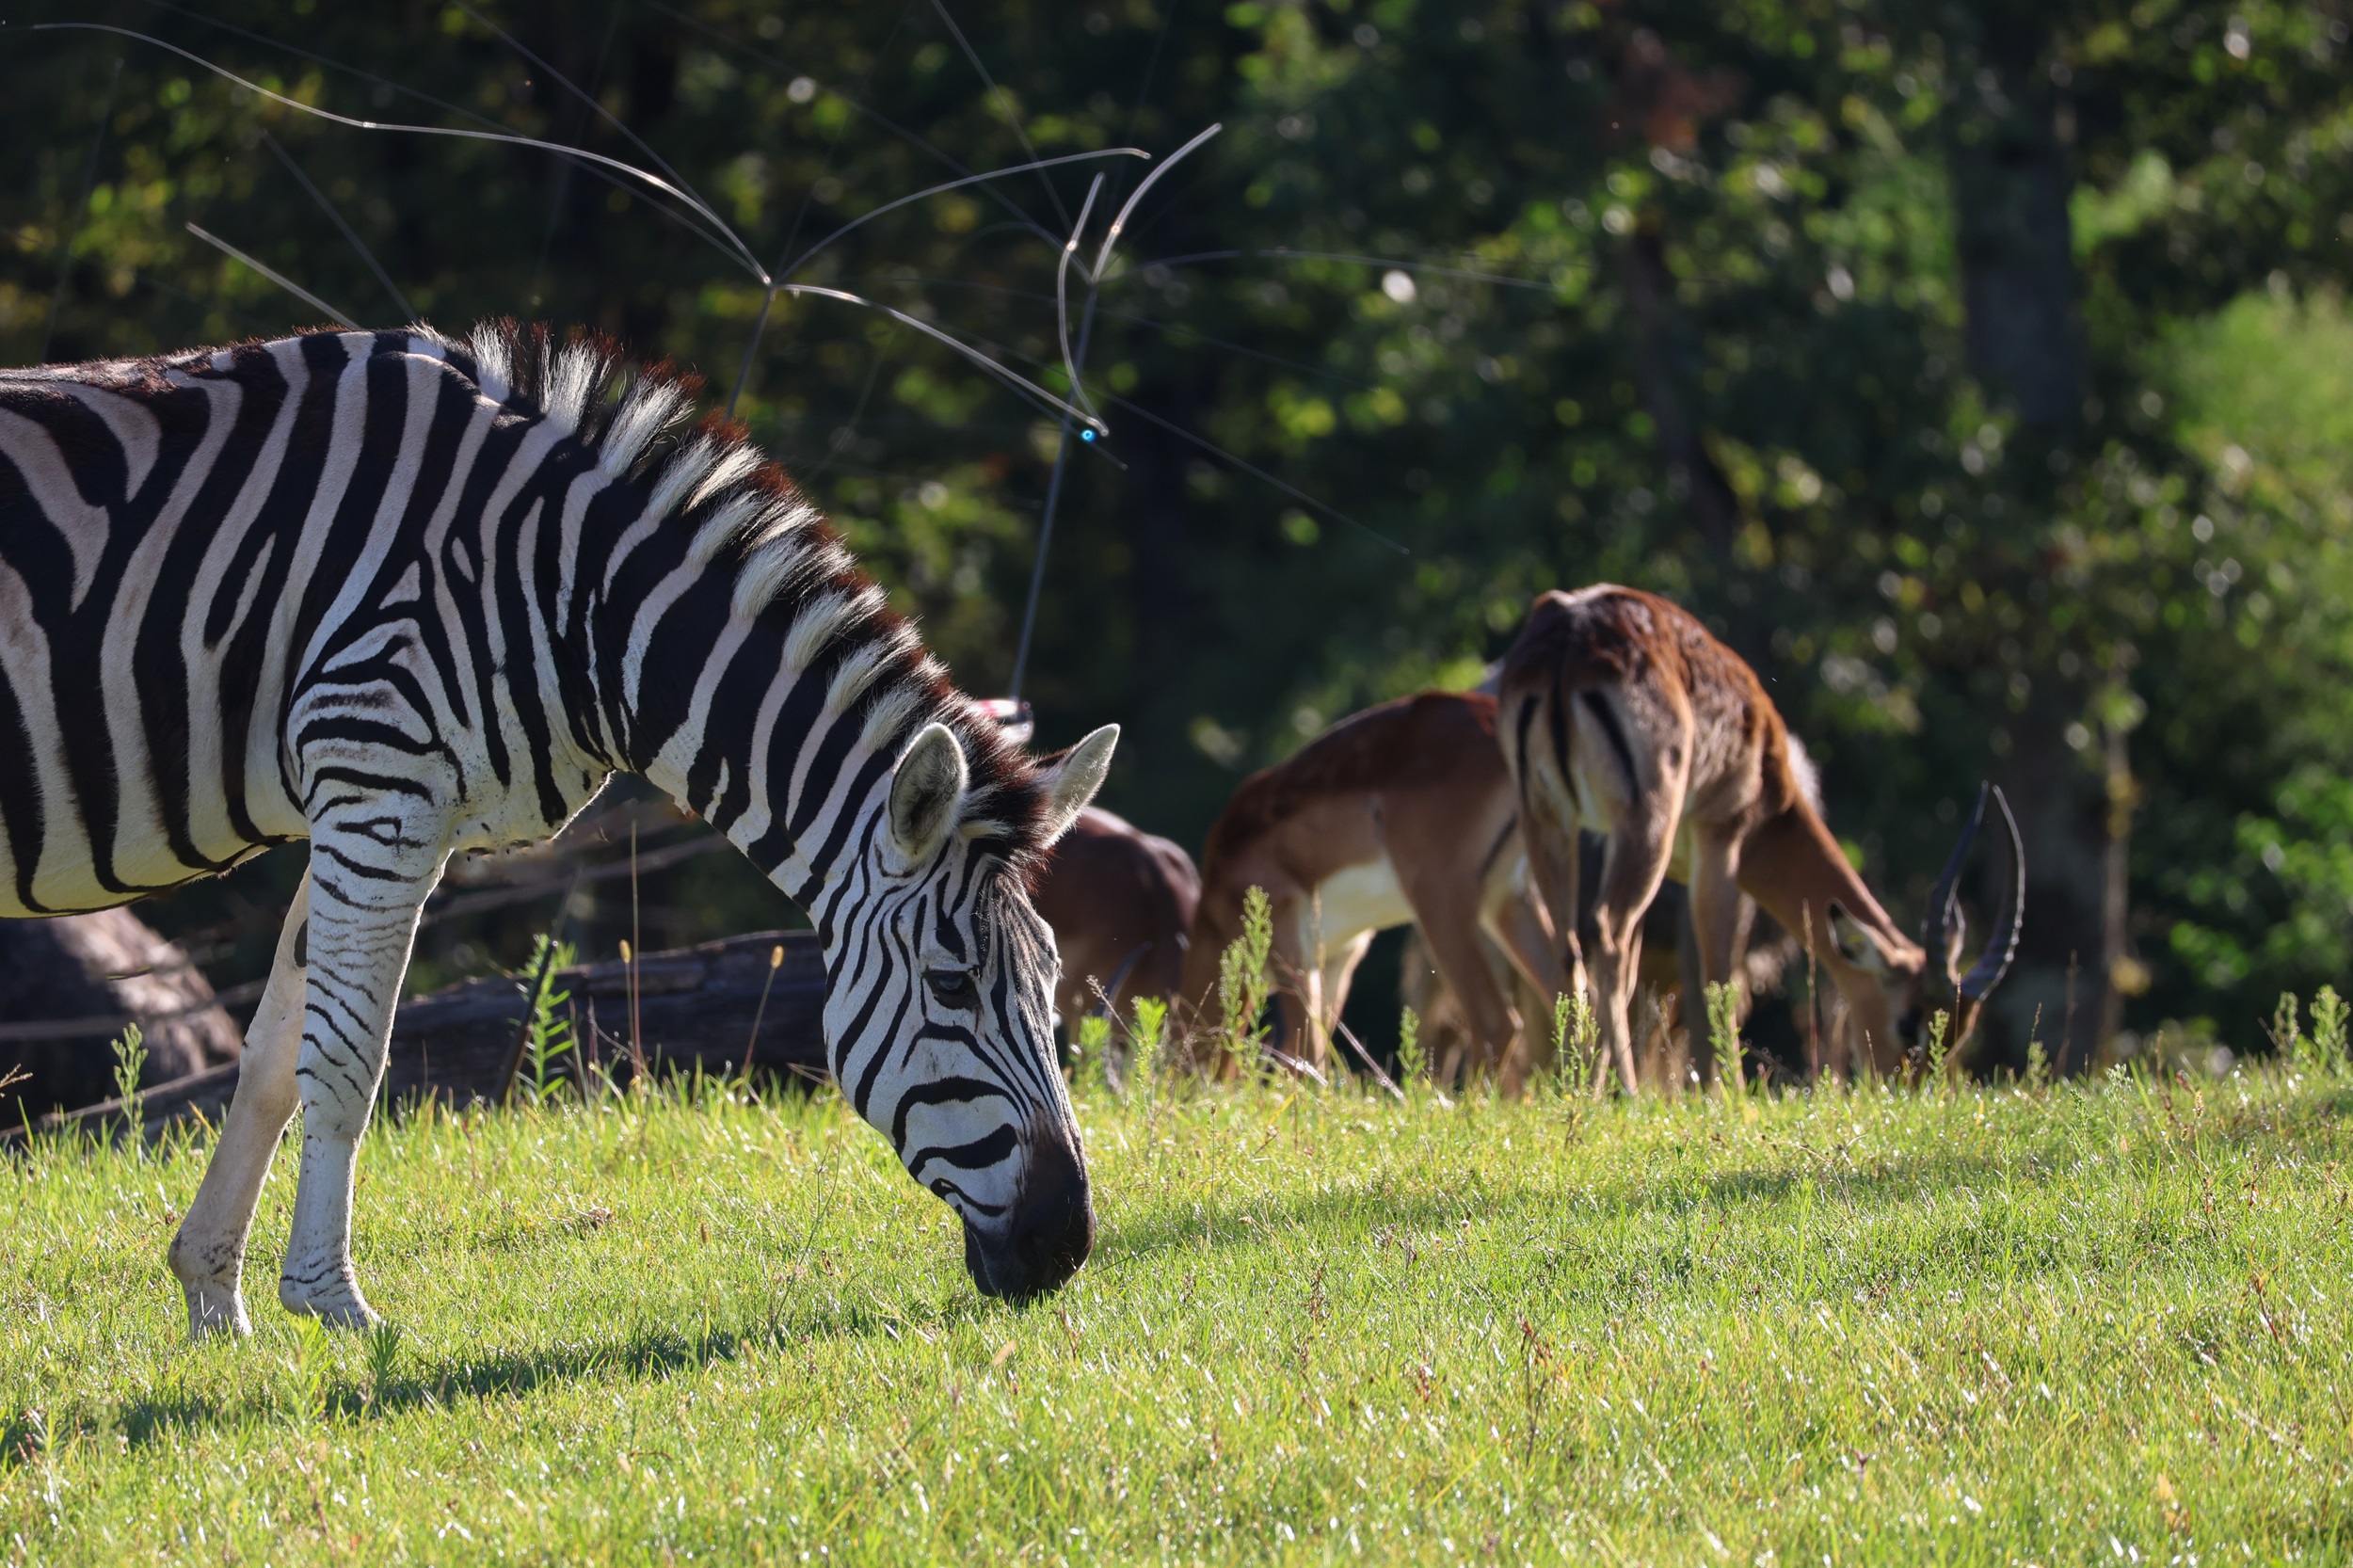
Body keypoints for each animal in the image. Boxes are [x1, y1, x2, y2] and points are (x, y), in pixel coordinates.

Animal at [0, 320, 1120, 1327]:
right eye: (952, 985)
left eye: (1053, 972)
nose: (1065, 1247)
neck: (567, 597)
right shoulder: (376, 781)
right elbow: (348, 1060)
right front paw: (336, 1307)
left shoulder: (363, 802)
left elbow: (278, 1053)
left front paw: (214, 1300)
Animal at [1176, 692, 1562, 1087]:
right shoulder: (1340, 957)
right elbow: (1308, 1053)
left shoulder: (1291, 949)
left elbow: (1303, 1048)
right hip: (1507, 899)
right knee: (1568, 990)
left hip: (1440, 901)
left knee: (1496, 1022)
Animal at [1497, 584, 2014, 1087]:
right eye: (1909, 1021)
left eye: (1959, 1032)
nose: (1905, 1087)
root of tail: (1570, 638)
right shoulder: (1721, 840)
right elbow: (1719, 979)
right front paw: (1729, 1096)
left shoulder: (1627, 847)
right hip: (1646, 825)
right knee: (1609, 935)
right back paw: (1628, 1090)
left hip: (1550, 819)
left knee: (1571, 948)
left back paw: (1577, 1084)